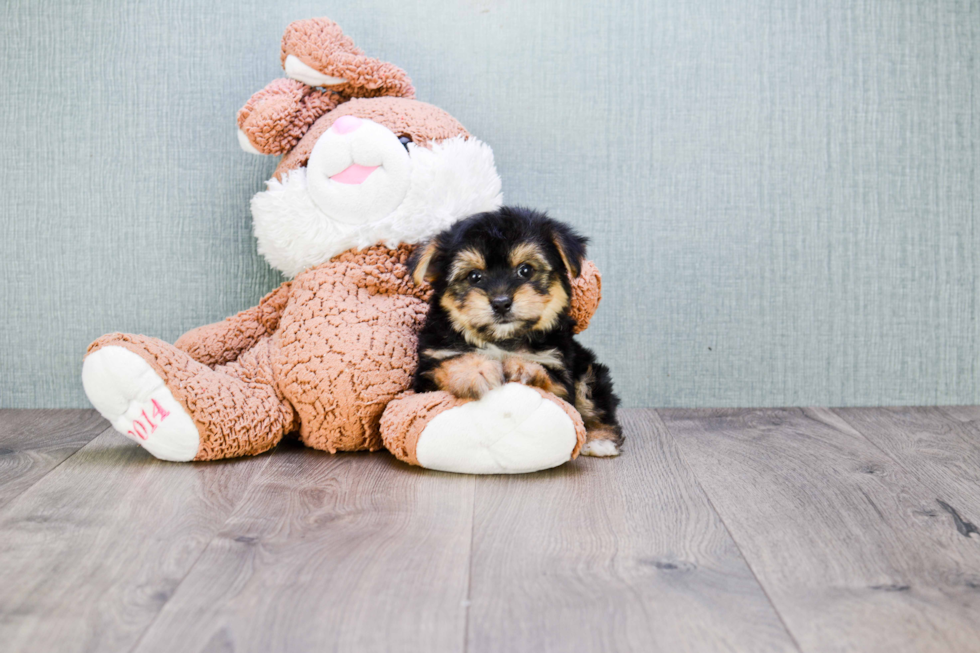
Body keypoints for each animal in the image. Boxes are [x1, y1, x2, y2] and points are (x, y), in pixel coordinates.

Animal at [410, 206, 624, 456]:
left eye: (525, 270)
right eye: (474, 276)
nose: (501, 303)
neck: (501, 339)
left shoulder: (560, 374)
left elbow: (551, 379)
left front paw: (522, 367)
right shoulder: (427, 374)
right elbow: (449, 364)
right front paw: (475, 370)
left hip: (588, 369)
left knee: (594, 400)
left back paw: (601, 440)